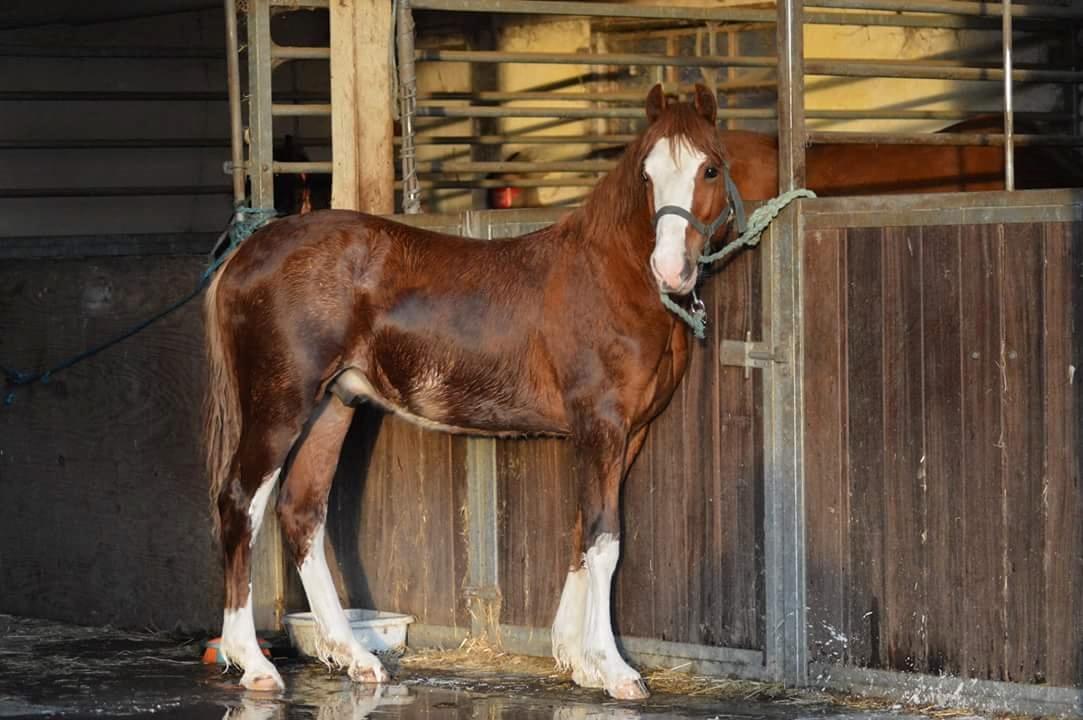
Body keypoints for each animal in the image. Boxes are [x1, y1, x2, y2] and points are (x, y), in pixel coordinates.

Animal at [203, 82, 745, 697]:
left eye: (709, 167)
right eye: (647, 174)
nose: (670, 269)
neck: (610, 279)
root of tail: (247, 252)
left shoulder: (627, 433)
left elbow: (582, 533)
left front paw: (578, 659)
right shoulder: (601, 426)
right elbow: (605, 542)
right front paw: (614, 669)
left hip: (331, 407)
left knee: (302, 514)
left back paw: (357, 657)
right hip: (279, 404)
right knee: (240, 504)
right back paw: (254, 663)